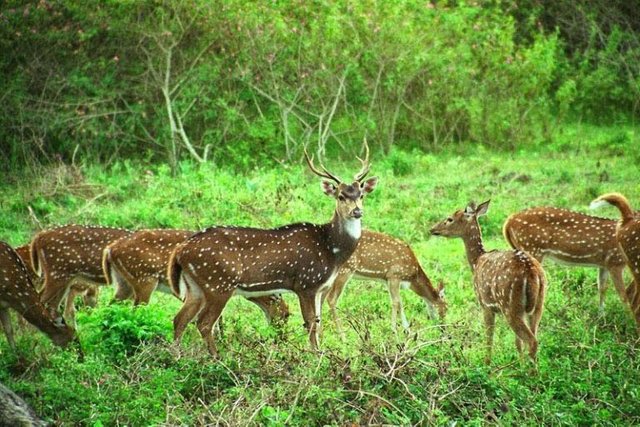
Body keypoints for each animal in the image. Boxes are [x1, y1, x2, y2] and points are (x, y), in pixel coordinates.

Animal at [103, 229, 290, 322]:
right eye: (286, 316)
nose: (280, 338)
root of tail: (110, 250)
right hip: (144, 279)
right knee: (136, 309)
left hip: (124, 283)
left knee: (111, 305)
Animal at [168, 144, 378, 358]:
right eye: (341, 196)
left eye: (361, 195)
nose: (357, 211)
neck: (332, 251)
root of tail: (180, 251)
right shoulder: (305, 283)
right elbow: (310, 323)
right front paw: (315, 356)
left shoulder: (321, 287)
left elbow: (318, 324)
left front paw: (321, 353)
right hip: (218, 283)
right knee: (203, 323)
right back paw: (216, 358)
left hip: (196, 286)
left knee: (179, 319)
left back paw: (177, 357)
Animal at [430, 201, 544, 364]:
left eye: (450, 218)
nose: (433, 229)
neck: (476, 261)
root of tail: (532, 272)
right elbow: (517, 343)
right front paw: (519, 363)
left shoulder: (485, 304)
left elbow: (489, 337)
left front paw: (487, 364)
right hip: (538, 304)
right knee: (532, 337)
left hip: (510, 305)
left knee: (531, 340)